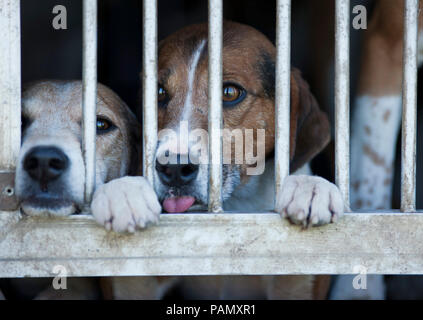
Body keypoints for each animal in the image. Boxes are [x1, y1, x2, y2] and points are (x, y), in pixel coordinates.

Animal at [92, 22, 344, 300]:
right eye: (159, 92)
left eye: (230, 92)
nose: (174, 168)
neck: (237, 201)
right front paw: (124, 192)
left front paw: (309, 187)